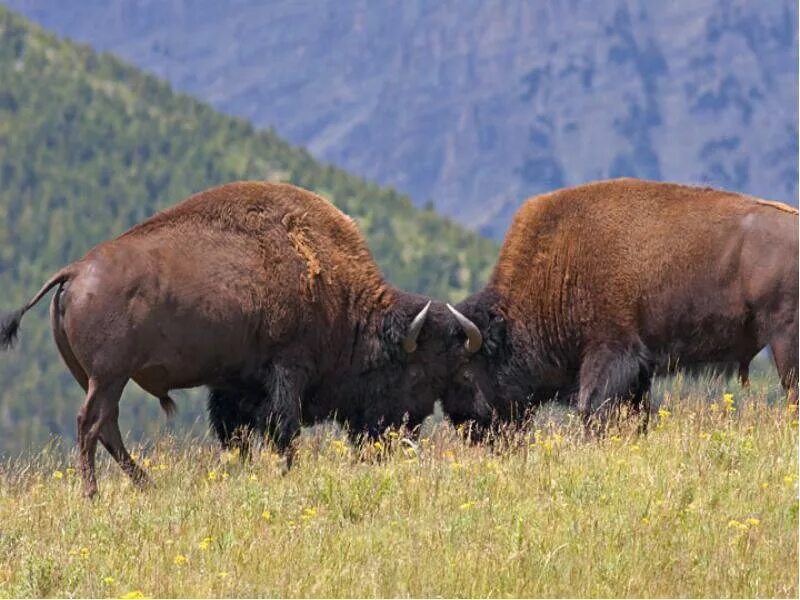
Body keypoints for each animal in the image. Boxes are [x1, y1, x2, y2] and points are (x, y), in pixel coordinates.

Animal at [0, 180, 466, 494]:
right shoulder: (287, 369)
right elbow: (283, 429)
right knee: (91, 423)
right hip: (109, 376)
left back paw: (147, 485)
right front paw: (285, 471)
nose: (399, 439)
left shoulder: (234, 385)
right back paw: (94, 493)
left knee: (106, 426)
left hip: (97, 378)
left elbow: (237, 434)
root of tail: (74, 272)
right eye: (413, 374)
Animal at [444, 178, 800, 432]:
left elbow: (593, 408)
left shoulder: (611, 353)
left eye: (468, 373)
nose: (468, 427)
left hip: (784, 340)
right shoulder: (639, 370)